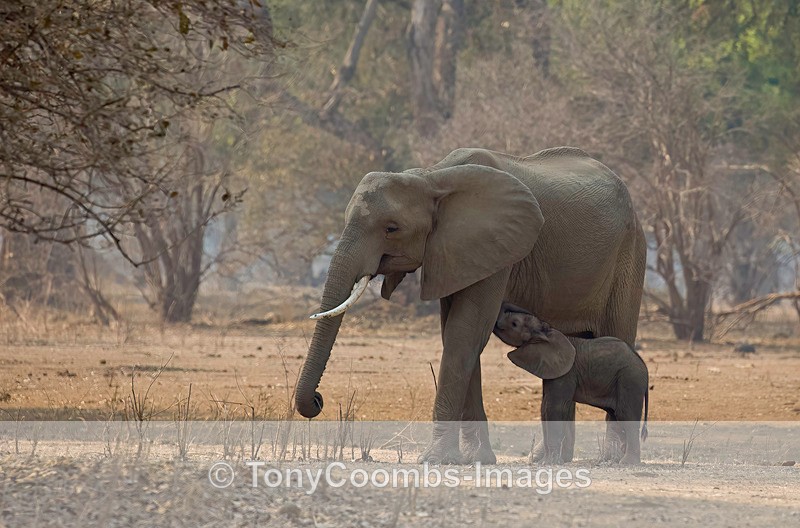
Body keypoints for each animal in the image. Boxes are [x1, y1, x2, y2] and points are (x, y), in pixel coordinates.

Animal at [494, 302, 649, 465]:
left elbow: (554, 407)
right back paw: (615, 461)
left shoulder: (567, 373)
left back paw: (627, 463)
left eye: (514, 324)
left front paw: (549, 463)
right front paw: (547, 462)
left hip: (630, 379)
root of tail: (644, 367)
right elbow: (544, 408)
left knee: (626, 414)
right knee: (616, 415)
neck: (548, 333)